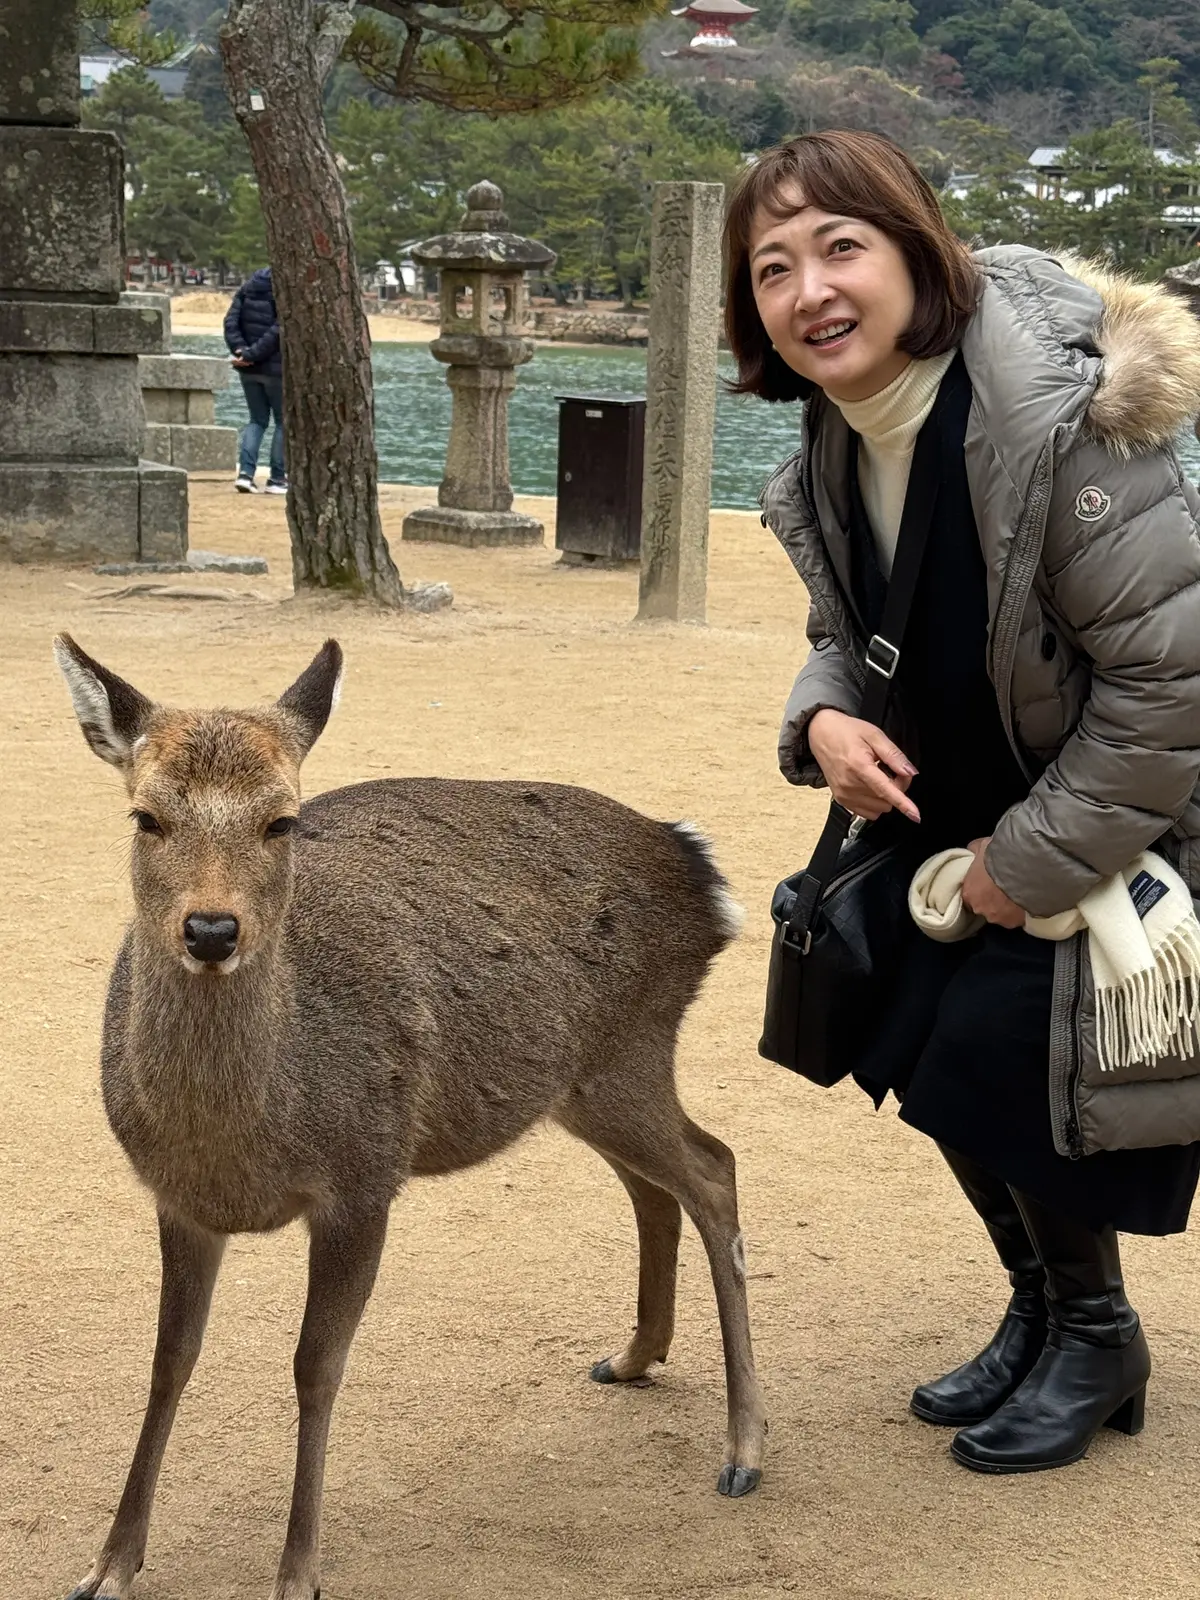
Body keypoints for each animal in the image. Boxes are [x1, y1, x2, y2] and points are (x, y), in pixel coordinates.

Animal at [53, 635, 766, 1600]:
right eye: (145, 816)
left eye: (282, 821)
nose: (210, 930)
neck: (245, 1145)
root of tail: (703, 871)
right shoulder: (178, 1199)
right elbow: (169, 1359)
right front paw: (110, 1565)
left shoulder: (363, 1178)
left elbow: (316, 1365)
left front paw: (298, 1574)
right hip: (582, 1081)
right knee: (660, 1185)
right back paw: (631, 1358)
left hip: (632, 1051)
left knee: (714, 1168)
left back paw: (744, 1449)